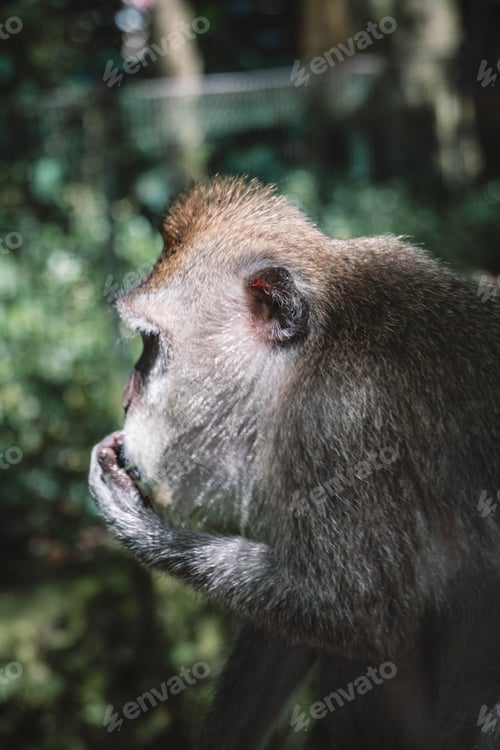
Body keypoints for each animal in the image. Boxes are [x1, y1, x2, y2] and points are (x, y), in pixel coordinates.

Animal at [89, 175, 500, 750]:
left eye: (150, 346)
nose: (127, 398)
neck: (313, 351)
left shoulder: (341, 423)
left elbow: (363, 614)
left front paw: (142, 527)